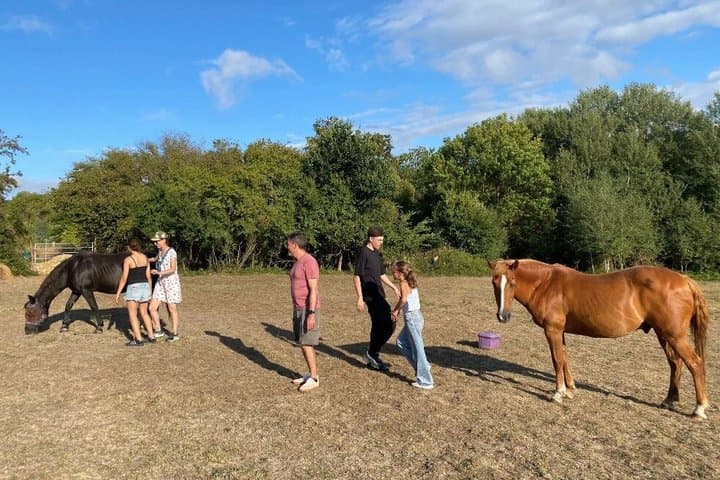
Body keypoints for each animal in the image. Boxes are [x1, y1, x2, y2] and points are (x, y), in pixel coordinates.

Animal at [488, 259, 710, 420]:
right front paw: (570, 389)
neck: (546, 283)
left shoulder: (552, 330)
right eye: (494, 282)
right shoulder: (561, 331)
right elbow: (565, 358)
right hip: (663, 334)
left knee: (695, 364)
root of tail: (684, 280)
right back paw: (669, 400)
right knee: (675, 364)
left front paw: (559, 393)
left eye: (512, 283)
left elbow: (557, 360)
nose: (503, 316)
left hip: (674, 336)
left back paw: (699, 409)